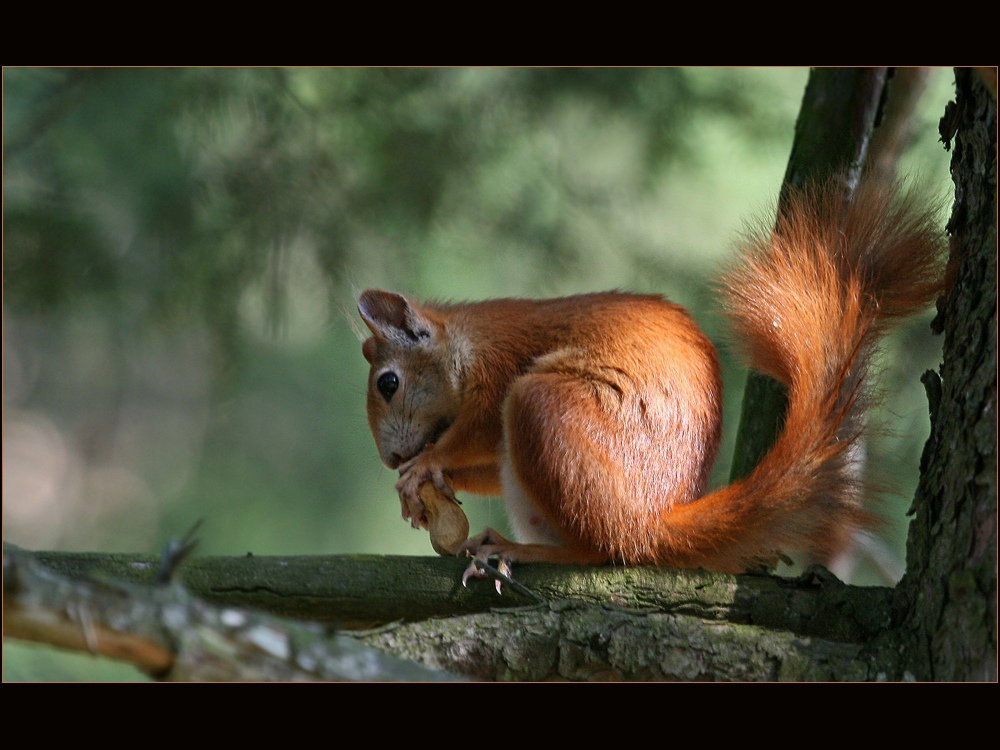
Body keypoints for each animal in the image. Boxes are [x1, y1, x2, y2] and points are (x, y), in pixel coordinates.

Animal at [360, 181, 944, 580]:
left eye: (388, 383)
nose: (391, 459)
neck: (466, 343)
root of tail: (652, 524)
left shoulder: (500, 369)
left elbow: (478, 430)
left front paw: (427, 465)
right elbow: (485, 462)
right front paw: (420, 485)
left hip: (543, 410)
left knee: (600, 552)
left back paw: (519, 550)